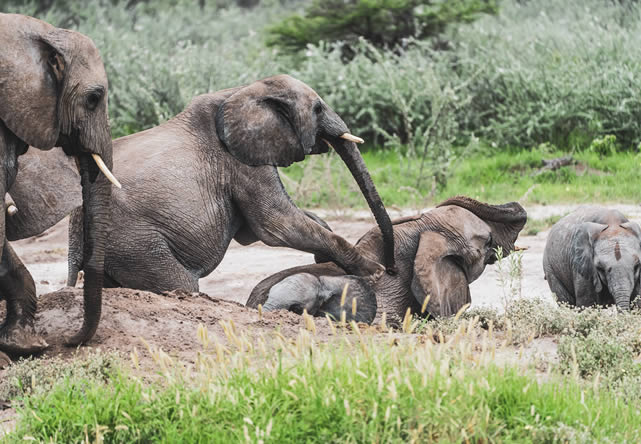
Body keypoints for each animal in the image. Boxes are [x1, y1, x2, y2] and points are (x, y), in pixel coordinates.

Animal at [11, 74, 396, 294]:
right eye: (317, 109)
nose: (392, 267)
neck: (241, 90)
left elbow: (267, 228)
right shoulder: (238, 160)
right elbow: (276, 225)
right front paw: (372, 271)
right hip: (135, 243)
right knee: (182, 284)